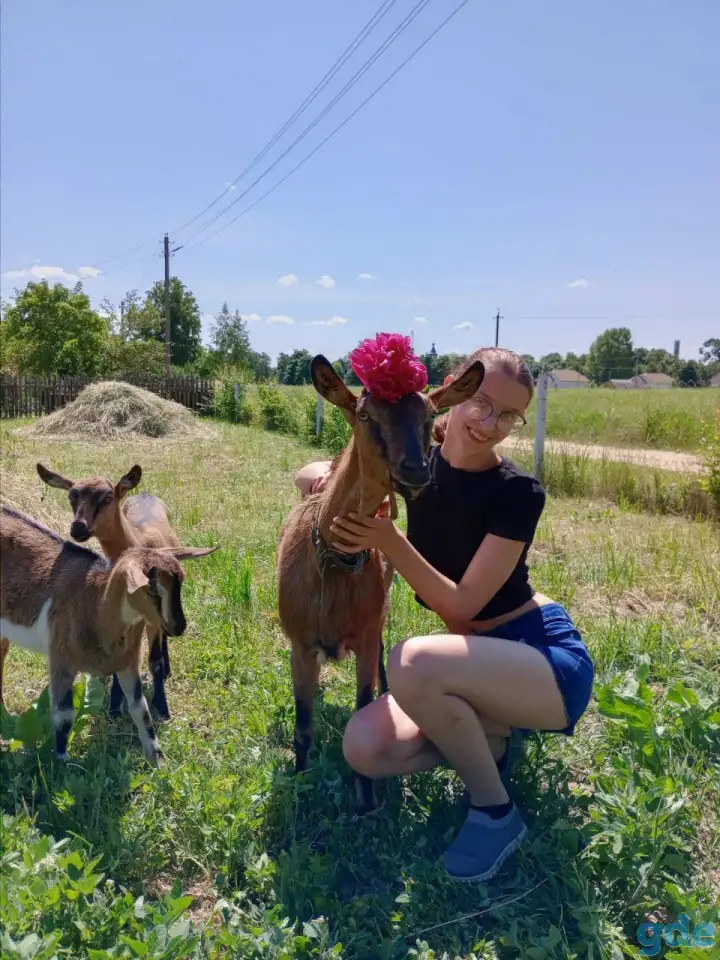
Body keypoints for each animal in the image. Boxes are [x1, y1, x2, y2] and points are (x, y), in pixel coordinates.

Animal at [0, 504, 216, 765]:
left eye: (180, 582)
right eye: (151, 589)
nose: (179, 626)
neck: (96, 606)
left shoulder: (127, 662)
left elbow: (141, 710)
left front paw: (159, 761)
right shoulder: (61, 660)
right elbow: (64, 715)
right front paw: (61, 764)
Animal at [36, 462, 181, 721]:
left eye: (107, 497)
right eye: (71, 496)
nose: (78, 527)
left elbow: (154, 660)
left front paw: (162, 708)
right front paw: (115, 707)